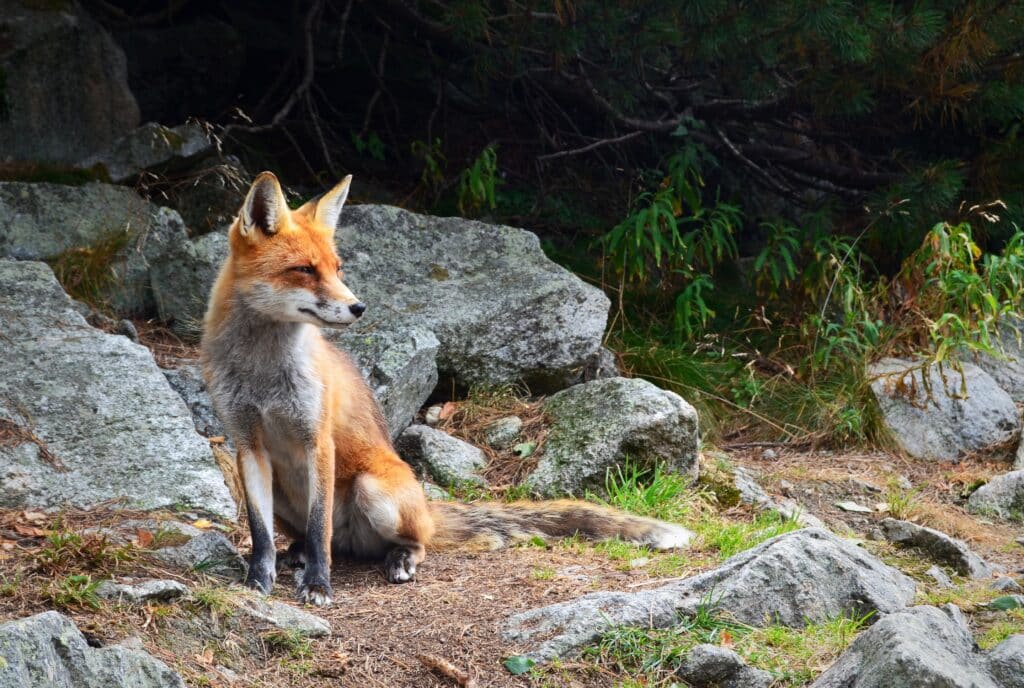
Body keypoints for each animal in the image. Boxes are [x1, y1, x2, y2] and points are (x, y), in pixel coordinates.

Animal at [197, 173, 696, 606]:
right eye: (304, 269)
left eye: (337, 269)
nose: (359, 307)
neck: (262, 373)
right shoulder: (247, 444)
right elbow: (260, 534)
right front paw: (257, 581)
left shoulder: (316, 440)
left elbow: (321, 532)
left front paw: (319, 586)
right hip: (283, 491)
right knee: (317, 537)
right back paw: (297, 553)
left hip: (374, 492)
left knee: (401, 541)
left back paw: (398, 559)